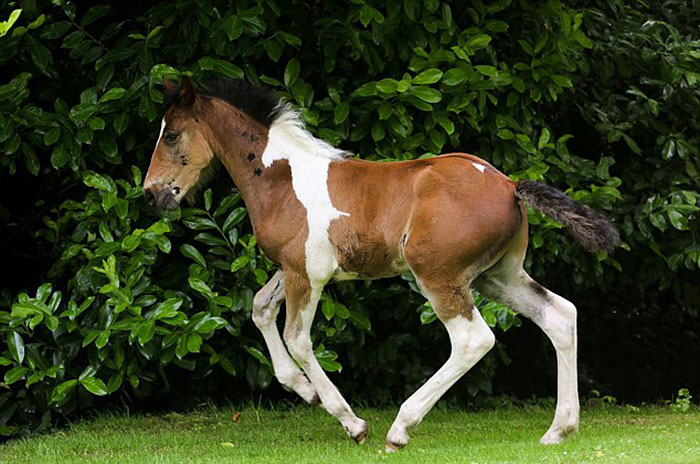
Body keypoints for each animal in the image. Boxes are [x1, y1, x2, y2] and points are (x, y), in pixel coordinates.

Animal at [143, 76, 619, 451]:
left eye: (172, 135)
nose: (151, 194)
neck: (281, 177)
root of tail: (509, 185)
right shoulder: (292, 268)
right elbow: (260, 308)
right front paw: (304, 391)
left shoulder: (307, 275)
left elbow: (297, 338)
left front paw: (351, 422)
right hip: (497, 276)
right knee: (560, 315)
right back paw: (559, 430)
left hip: (439, 276)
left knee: (473, 339)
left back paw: (400, 428)